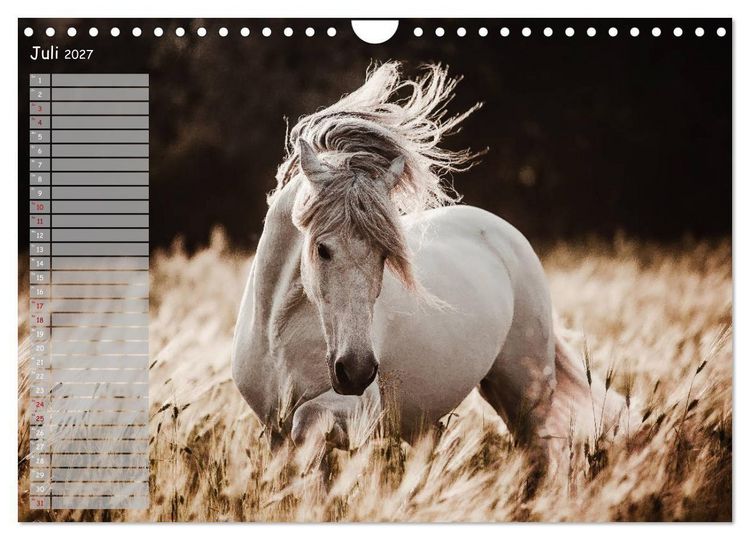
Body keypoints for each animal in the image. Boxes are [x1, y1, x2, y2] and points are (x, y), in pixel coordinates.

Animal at [231, 62, 629, 471]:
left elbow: (305, 421)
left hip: (525, 390)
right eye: (322, 249)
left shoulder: (356, 411)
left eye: (384, 255)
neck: (278, 330)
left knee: (544, 448)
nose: (356, 371)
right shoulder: (273, 431)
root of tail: (504, 235)